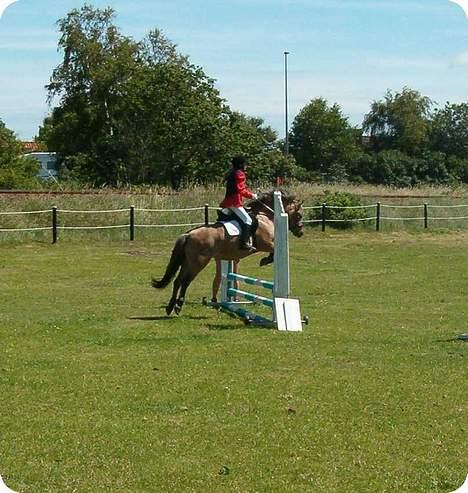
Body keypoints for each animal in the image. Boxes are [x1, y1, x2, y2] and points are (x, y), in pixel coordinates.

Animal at [152, 190, 306, 314]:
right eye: (299, 215)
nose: (300, 233)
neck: (265, 216)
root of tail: (188, 234)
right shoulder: (266, 244)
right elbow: (274, 252)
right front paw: (265, 260)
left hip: (188, 261)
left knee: (177, 281)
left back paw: (170, 307)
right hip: (198, 262)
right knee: (185, 281)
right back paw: (178, 306)